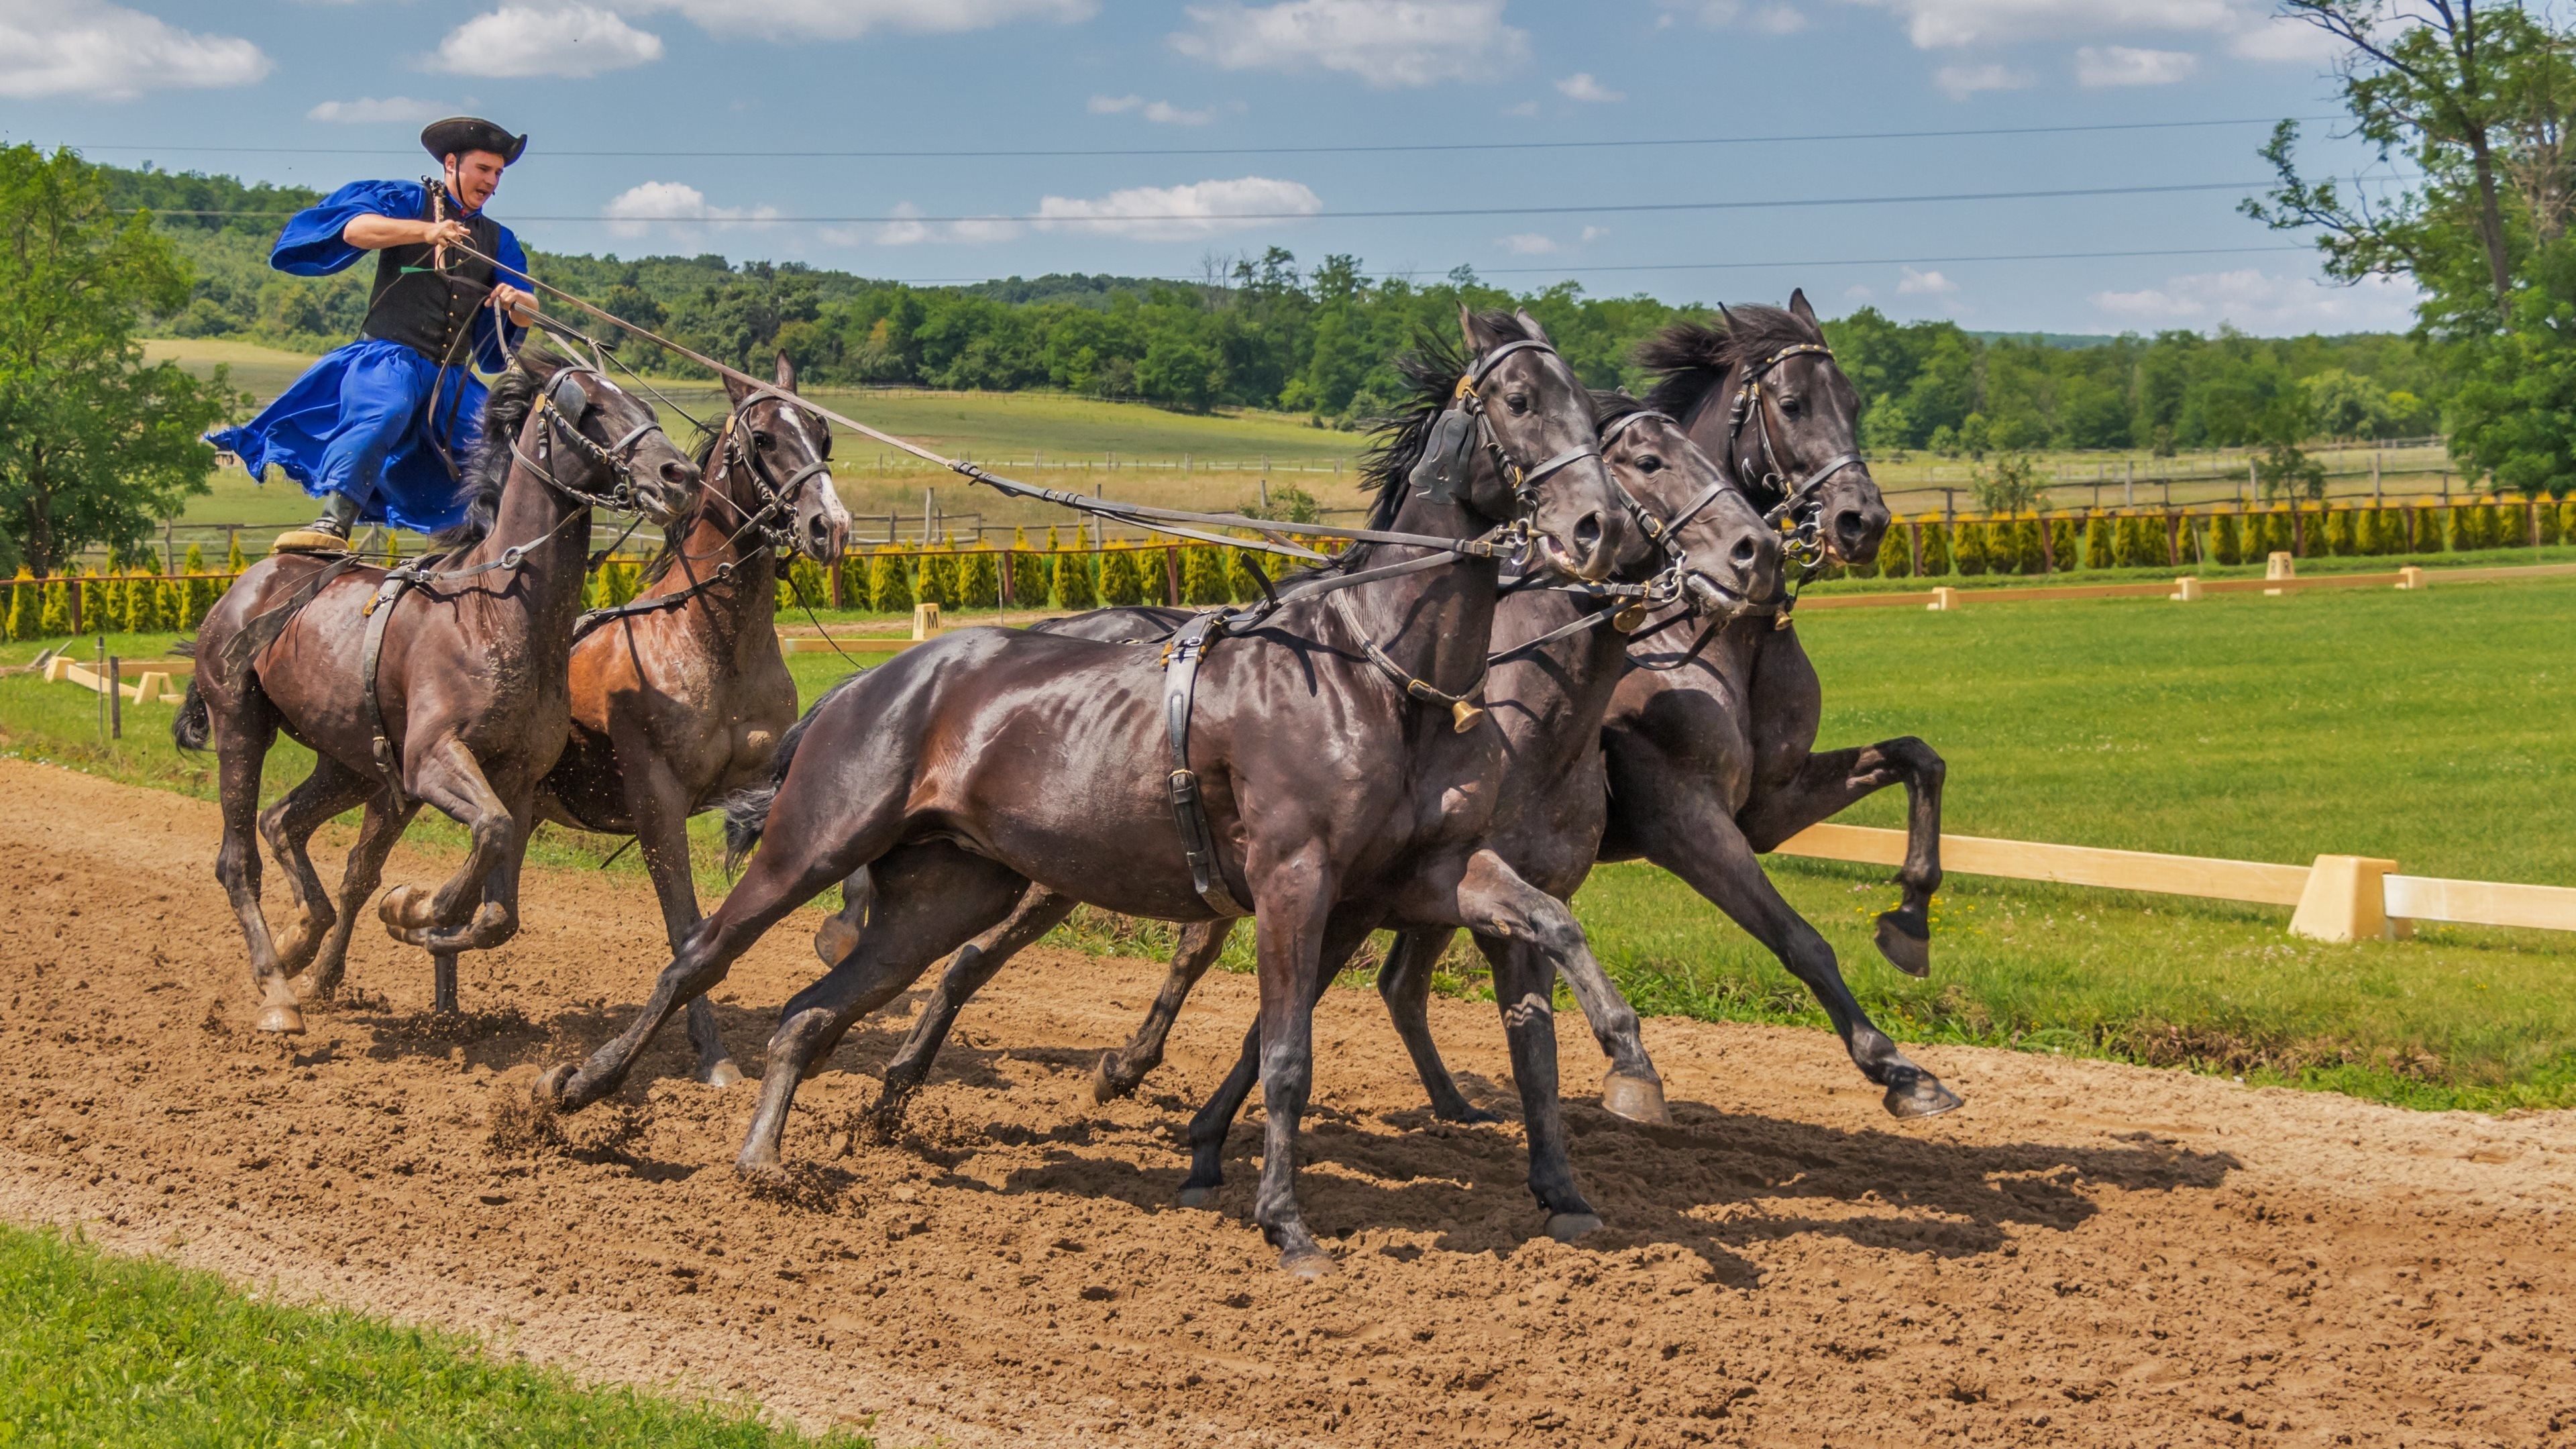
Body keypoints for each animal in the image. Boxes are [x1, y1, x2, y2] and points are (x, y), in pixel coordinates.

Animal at [177, 340, 706, 1026]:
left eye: (645, 406)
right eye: (587, 407)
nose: (679, 476)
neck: (495, 610)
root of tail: (247, 586)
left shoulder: (514, 778)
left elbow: (500, 909)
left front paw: (415, 913)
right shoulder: (431, 760)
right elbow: (489, 834)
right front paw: (417, 906)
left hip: (352, 761)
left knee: (282, 822)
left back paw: (303, 937)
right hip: (242, 725)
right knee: (238, 859)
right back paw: (277, 987)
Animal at [533, 353, 855, 1083]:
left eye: (823, 437)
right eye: (763, 438)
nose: (831, 527)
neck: (710, 637)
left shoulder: (763, 781)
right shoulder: (658, 803)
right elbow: (686, 926)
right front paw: (712, 1055)